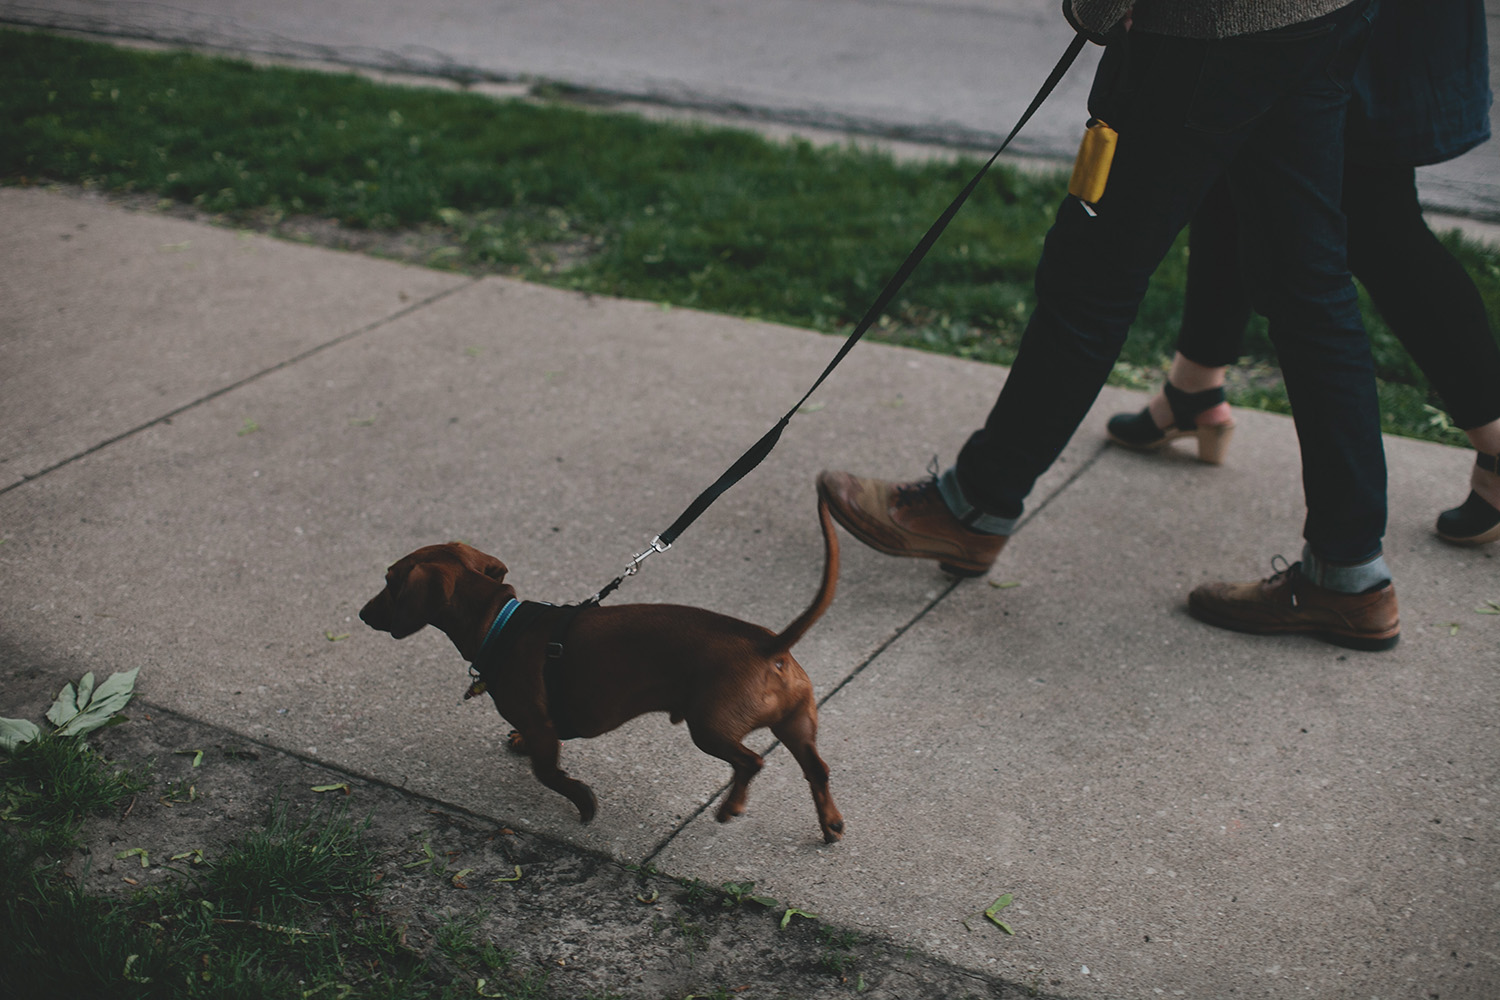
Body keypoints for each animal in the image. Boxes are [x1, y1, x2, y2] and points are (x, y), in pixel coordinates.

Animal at [361, 497, 846, 839]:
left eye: (390, 582)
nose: (363, 614)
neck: (500, 623)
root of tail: (768, 644)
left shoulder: (543, 727)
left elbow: (547, 772)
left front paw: (582, 801)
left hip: (709, 727)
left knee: (751, 763)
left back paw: (731, 807)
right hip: (795, 724)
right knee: (817, 770)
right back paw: (831, 823)